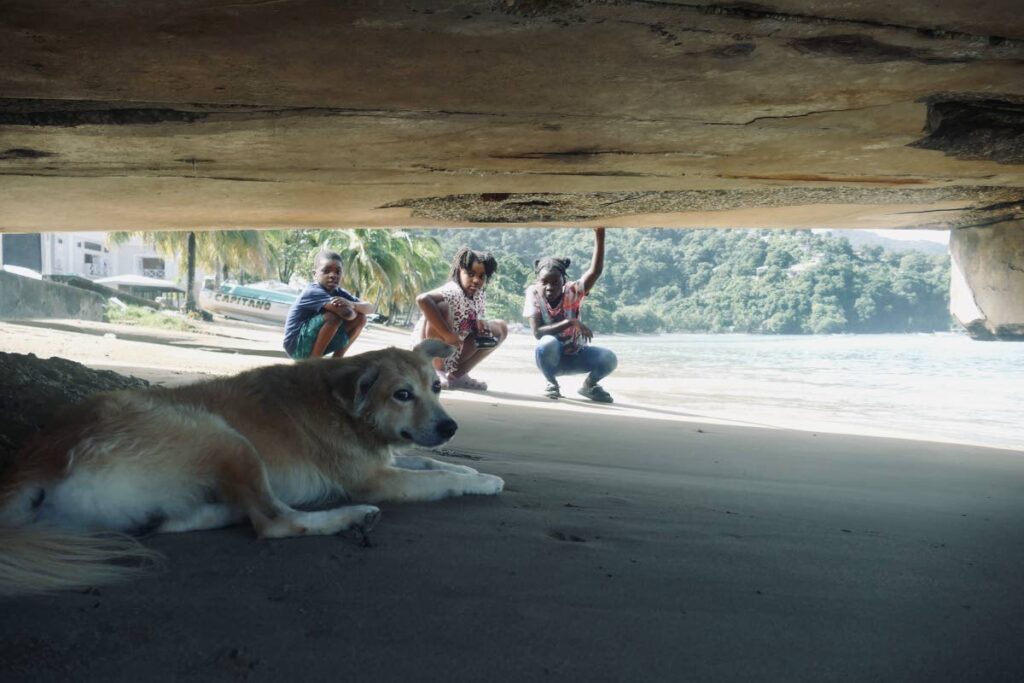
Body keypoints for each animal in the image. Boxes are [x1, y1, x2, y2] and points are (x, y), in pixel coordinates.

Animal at [0, 339, 503, 593]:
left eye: (437, 387)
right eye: (402, 395)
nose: (451, 427)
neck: (343, 406)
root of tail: (36, 458)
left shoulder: (389, 458)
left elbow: (427, 460)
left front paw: (473, 471)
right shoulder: (375, 480)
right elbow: (437, 475)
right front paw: (485, 480)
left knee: (189, 518)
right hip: (222, 435)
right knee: (275, 522)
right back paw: (350, 518)